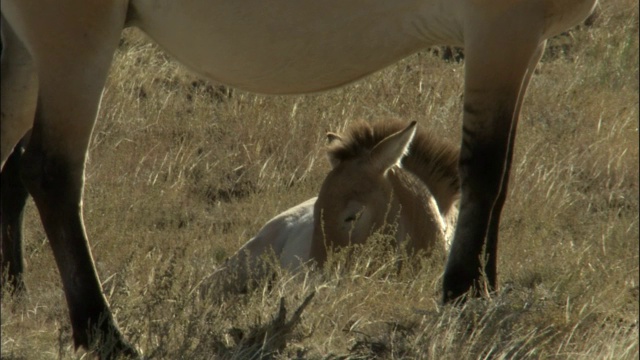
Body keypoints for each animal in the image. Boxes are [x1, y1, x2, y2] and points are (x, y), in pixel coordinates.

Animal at [1, 0, 600, 358]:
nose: (312, 280)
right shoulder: (502, 31)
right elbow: (486, 169)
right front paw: (462, 296)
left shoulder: (525, 44)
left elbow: (499, 178)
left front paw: (482, 290)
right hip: (75, 44)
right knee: (49, 171)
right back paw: (105, 334)